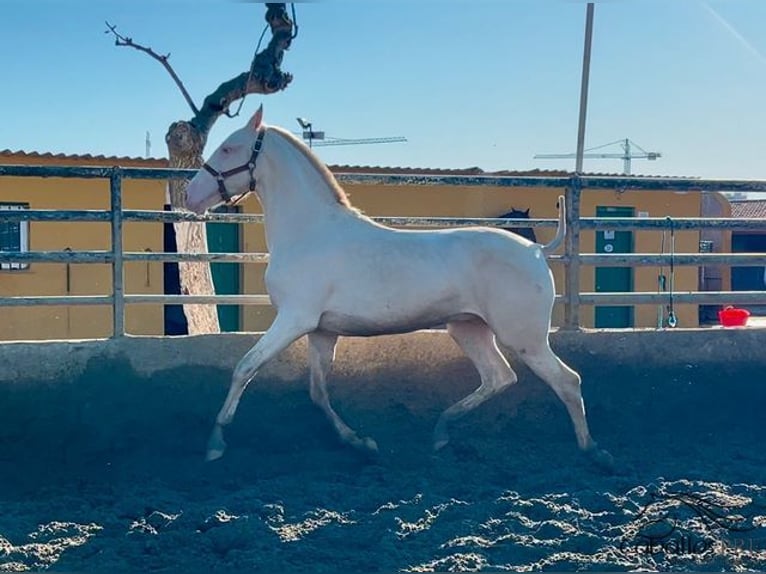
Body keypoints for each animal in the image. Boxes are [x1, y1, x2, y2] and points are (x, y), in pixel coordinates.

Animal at [184, 106, 612, 470]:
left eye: (229, 147)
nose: (190, 195)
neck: (309, 232)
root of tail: (537, 249)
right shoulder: (321, 331)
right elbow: (318, 393)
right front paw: (361, 444)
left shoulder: (294, 320)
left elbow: (245, 368)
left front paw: (215, 443)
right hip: (469, 328)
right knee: (499, 377)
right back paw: (441, 432)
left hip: (524, 338)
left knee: (567, 381)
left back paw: (593, 451)